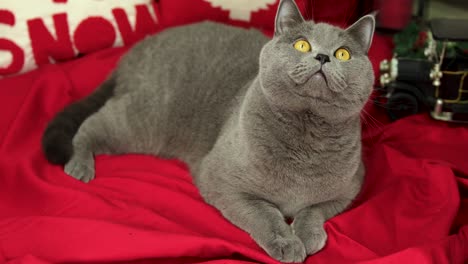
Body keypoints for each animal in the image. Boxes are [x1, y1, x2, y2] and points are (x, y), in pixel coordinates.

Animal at [42, 0, 374, 262]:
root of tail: (137, 50)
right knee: (91, 125)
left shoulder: (352, 186)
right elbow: (263, 213)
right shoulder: (220, 179)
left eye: (343, 54)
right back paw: (79, 166)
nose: (323, 56)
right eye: (302, 44)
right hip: (142, 121)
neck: (306, 134)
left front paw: (308, 236)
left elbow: (314, 209)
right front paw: (286, 243)